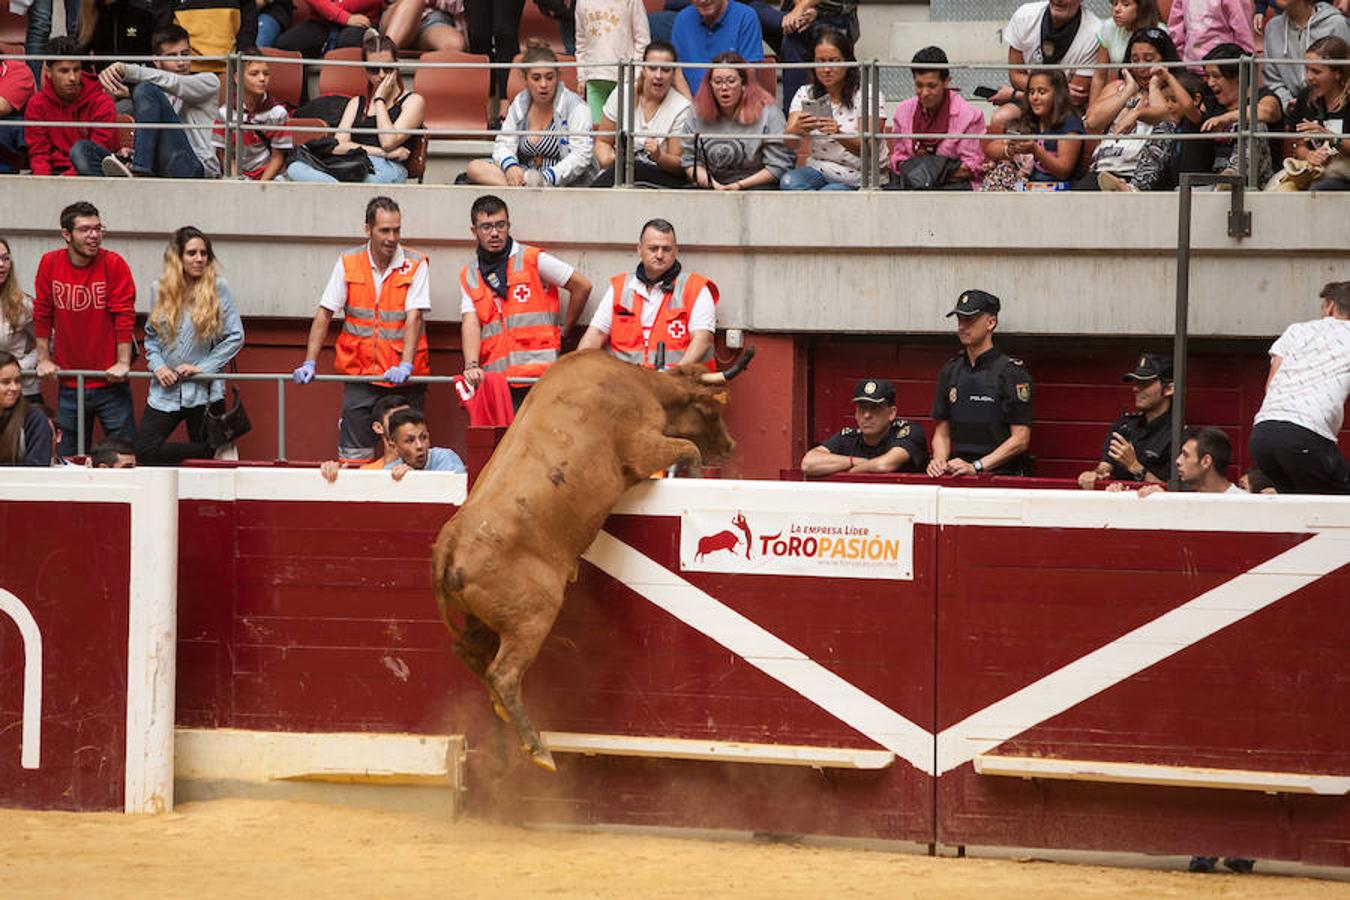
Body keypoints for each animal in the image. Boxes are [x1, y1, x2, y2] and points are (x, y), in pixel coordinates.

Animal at [432, 348, 756, 771]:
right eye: (712, 412)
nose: (732, 446)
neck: (638, 383)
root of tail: (448, 547)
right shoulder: (644, 448)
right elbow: (690, 449)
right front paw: (700, 476)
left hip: (482, 620)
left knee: (468, 652)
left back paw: (500, 710)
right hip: (533, 618)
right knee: (504, 672)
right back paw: (539, 749)